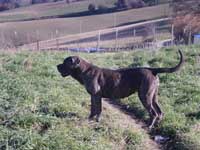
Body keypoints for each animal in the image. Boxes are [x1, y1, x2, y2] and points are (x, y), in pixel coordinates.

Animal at [56, 49, 184, 128]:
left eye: (65, 62)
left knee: (153, 113)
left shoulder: (96, 95)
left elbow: (98, 109)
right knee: (160, 112)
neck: (84, 71)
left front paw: (96, 121)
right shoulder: (93, 96)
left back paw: (149, 126)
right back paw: (156, 126)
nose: (57, 66)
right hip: (153, 96)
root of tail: (153, 70)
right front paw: (91, 119)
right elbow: (93, 109)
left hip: (145, 96)